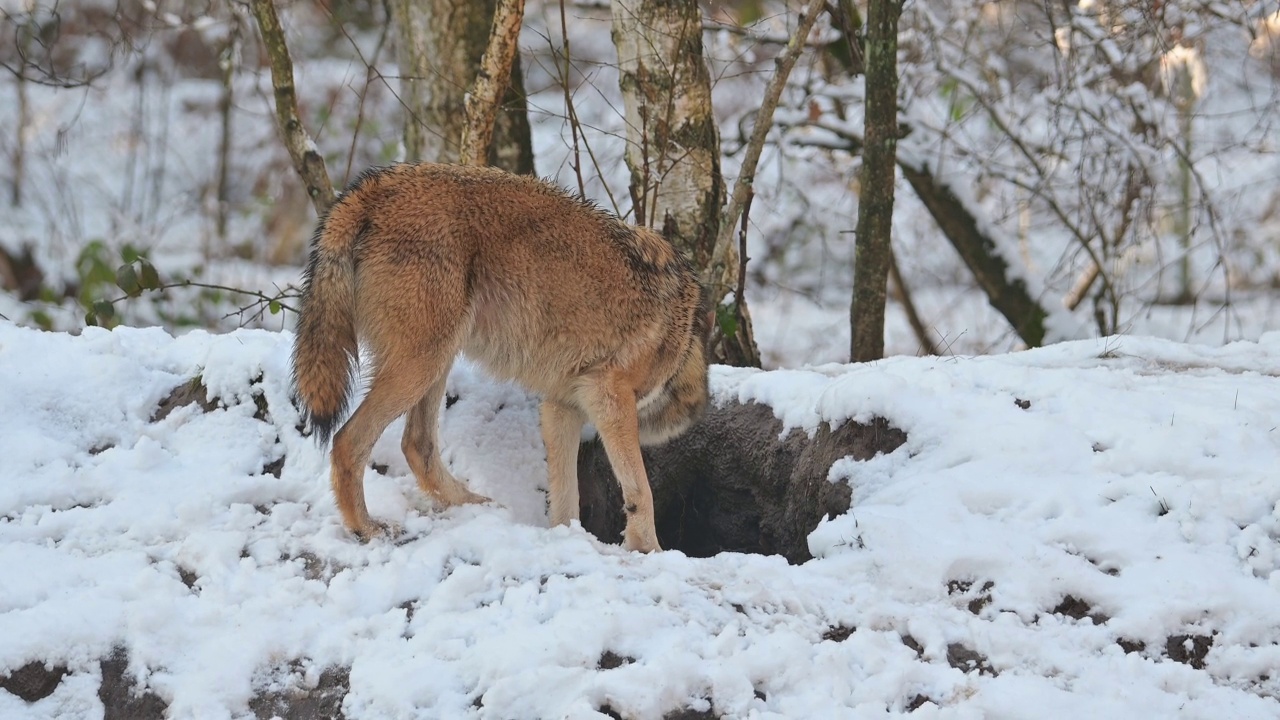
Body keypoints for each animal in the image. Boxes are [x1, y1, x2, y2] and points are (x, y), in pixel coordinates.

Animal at [290, 162, 711, 550]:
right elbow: (640, 489)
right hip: (420, 365)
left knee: (417, 444)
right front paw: (648, 549)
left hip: (437, 360)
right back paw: (368, 529)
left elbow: (566, 498)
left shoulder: (562, 406)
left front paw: (567, 540)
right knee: (347, 442)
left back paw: (475, 506)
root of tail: (376, 182)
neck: (681, 332)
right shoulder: (608, 395)